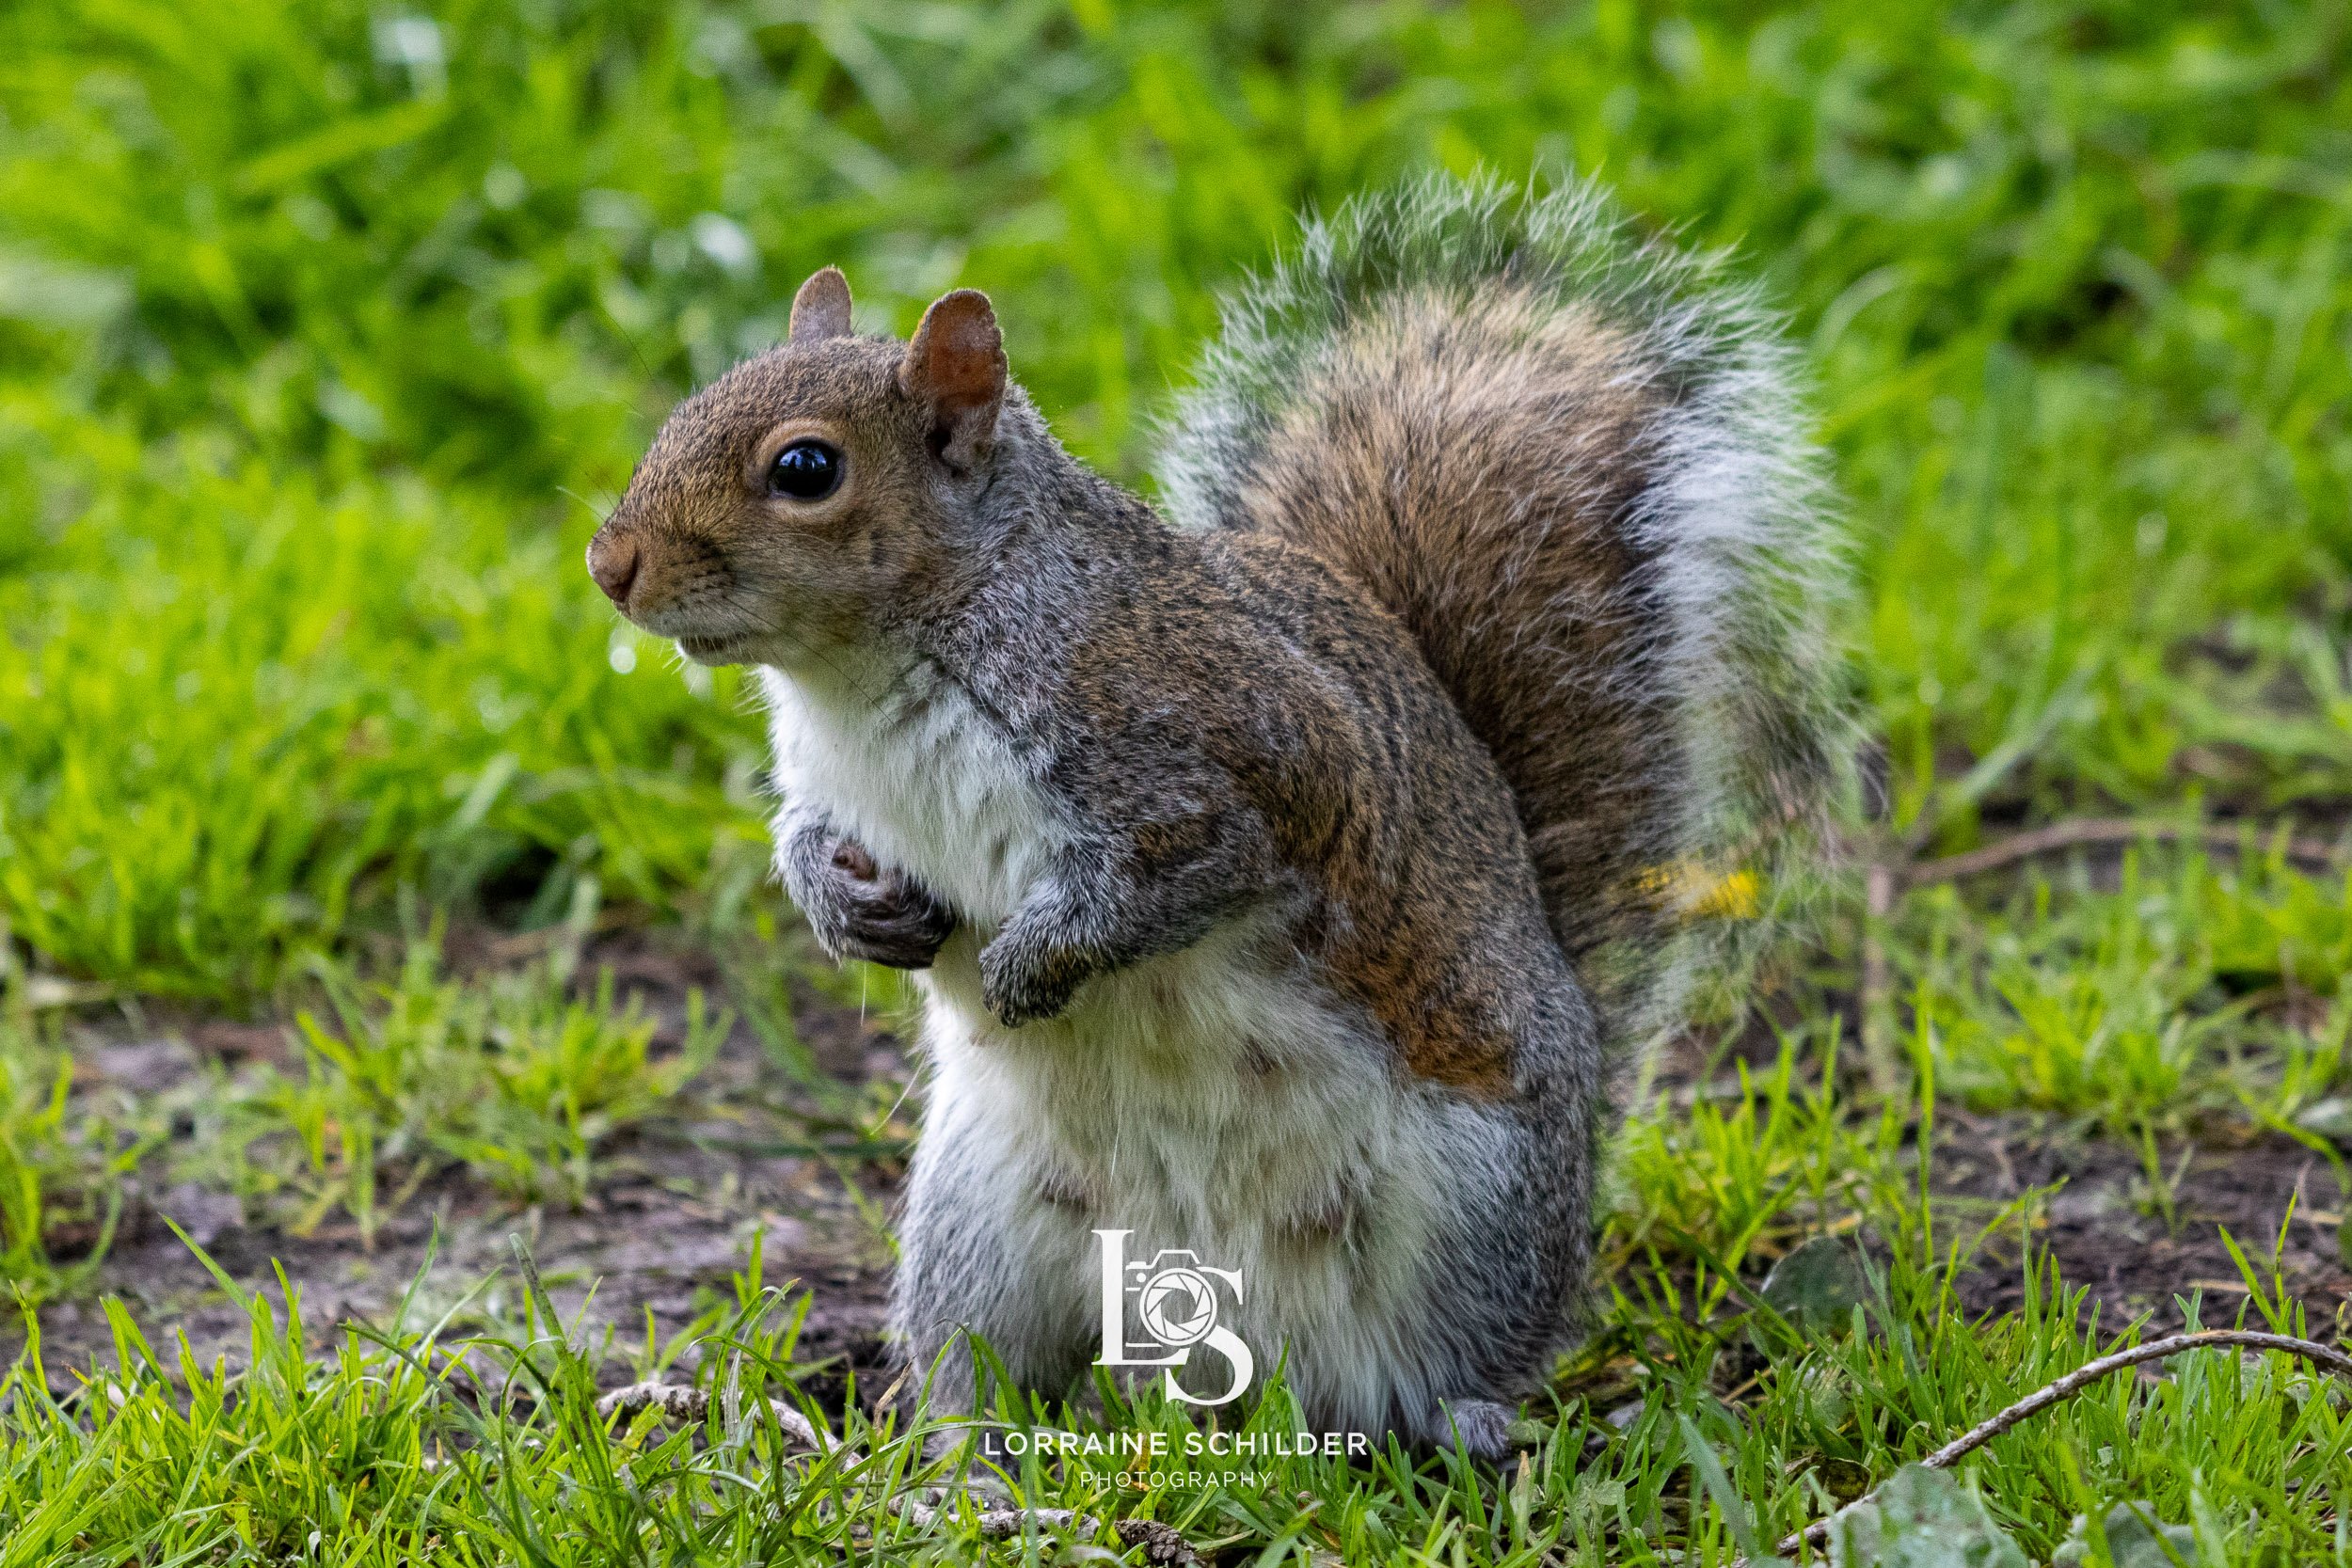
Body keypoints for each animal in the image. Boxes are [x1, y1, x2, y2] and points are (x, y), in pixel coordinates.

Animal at [586, 176, 1850, 1458]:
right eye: (690, 400)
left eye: (805, 467)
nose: (609, 564)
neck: (863, 677)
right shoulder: (831, 786)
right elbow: (804, 839)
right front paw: (847, 909)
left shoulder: (1222, 769)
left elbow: (1164, 884)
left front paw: (1030, 968)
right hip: (977, 1228)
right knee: (982, 1363)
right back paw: (953, 1452)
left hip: (1472, 1218)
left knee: (1447, 1361)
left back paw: (1462, 1423)